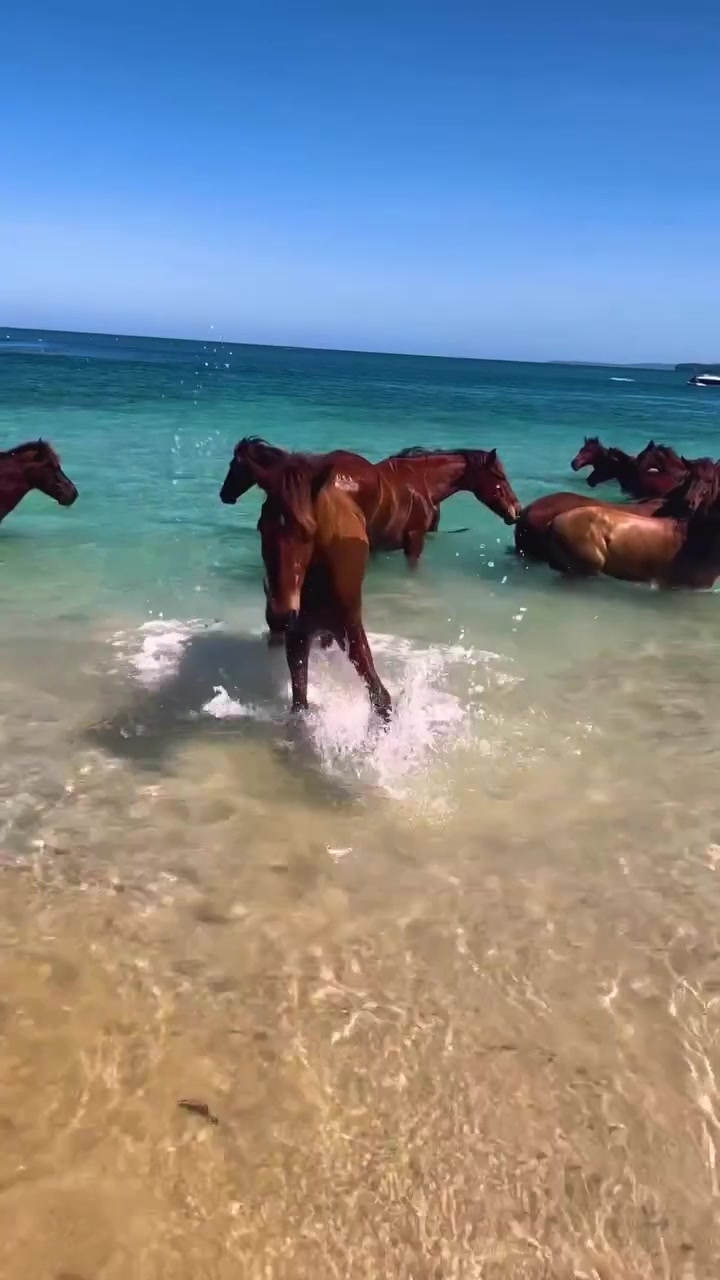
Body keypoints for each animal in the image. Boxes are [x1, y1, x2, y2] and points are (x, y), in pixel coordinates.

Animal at [249, 454, 392, 720]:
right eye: (261, 527)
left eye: (307, 530)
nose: (280, 615)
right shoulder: (297, 635)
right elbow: (299, 704)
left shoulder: (351, 629)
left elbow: (380, 697)